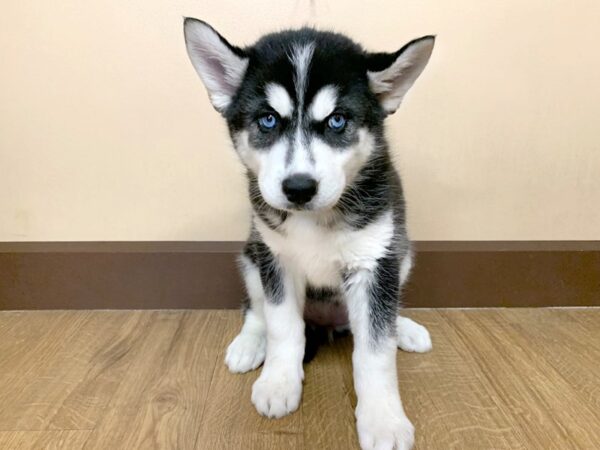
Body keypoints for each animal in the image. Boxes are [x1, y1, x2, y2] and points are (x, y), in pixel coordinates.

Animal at [184, 18, 436, 450]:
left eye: (337, 121)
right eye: (268, 119)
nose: (299, 187)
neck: (315, 220)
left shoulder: (373, 260)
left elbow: (375, 350)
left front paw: (384, 419)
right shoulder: (276, 260)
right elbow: (283, 326)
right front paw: (278, 383)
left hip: (400, 253)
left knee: (383, 313)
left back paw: (403, 326)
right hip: (251, 255)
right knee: (257, 308)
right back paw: (250, 343)